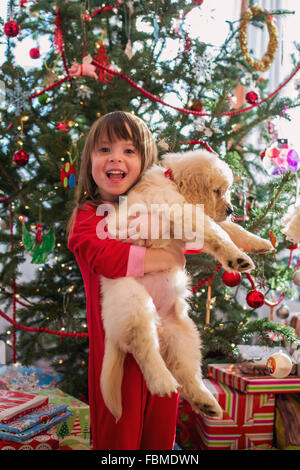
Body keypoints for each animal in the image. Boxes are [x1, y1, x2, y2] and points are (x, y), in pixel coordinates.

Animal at [100, 151, 272, 422]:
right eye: (217, 191)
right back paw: (162, 382)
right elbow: (219, 231)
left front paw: (259, 243)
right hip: (134, 304)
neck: (172, 180)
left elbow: (232, 228)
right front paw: (237, 258)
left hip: (185, 334)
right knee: (144, 348)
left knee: (186, 371)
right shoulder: (183, 211)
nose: (231, 209)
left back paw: (207, 403)